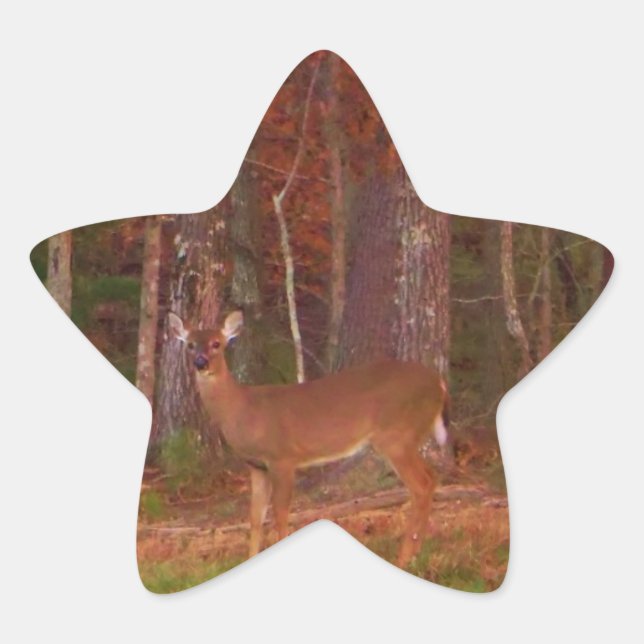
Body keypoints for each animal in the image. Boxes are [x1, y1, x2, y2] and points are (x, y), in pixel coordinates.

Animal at [168, 310, 450, 568]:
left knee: (421, 484)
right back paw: (415, 553)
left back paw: (404, 558)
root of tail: (440, 382)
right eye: (190, 344)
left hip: (396, 435)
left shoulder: (282, 457)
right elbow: (255, 518)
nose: (201, 362)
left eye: (217, 343)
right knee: (432, 478)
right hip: (406, 437)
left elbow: (281, 514)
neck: (243, 410)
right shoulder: (256, 465)